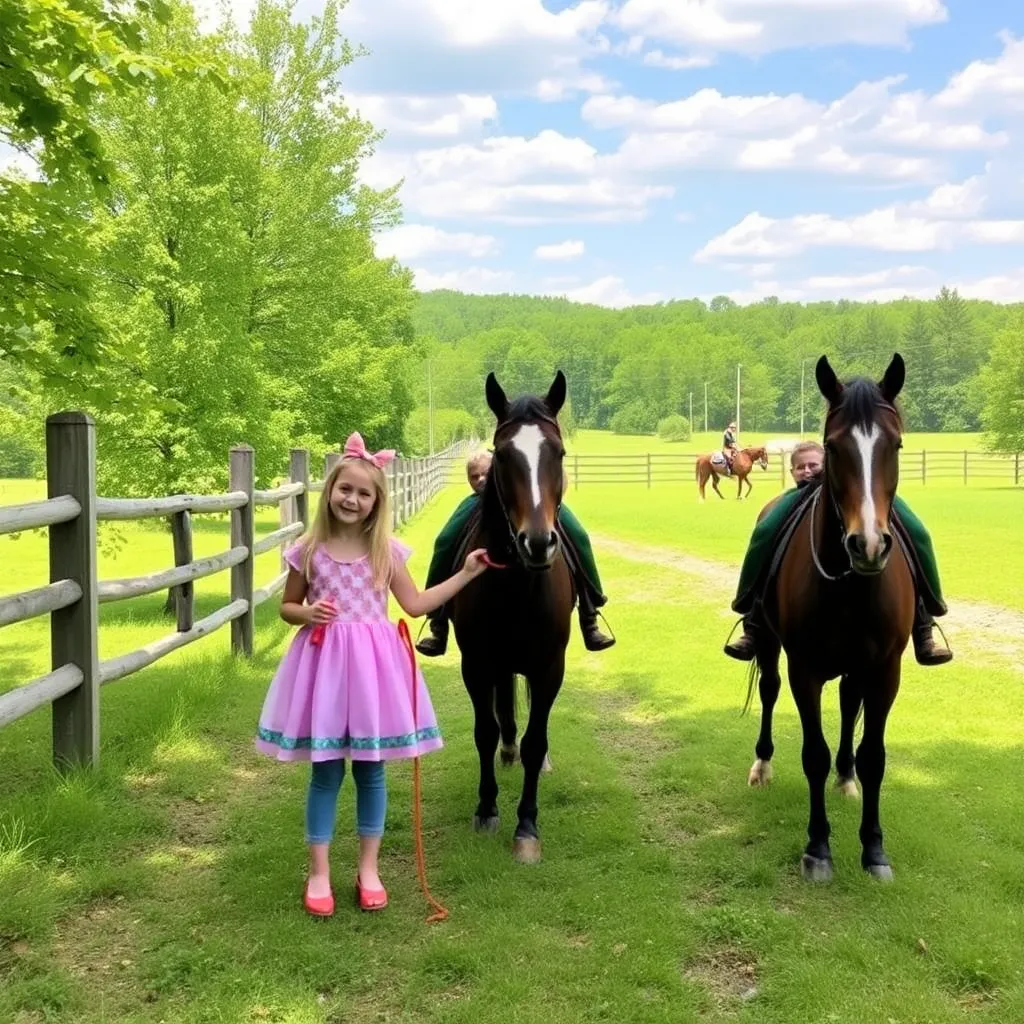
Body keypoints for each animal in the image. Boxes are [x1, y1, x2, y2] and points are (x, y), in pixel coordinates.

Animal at [450, 370, 574, 864]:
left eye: (558, 452)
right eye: (503, 454)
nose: (537, 543)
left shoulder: (549, 668)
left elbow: (535, 741)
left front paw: (527, 826)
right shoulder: (477, 664)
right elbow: (485, 731)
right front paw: (487, 808)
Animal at [745, 353, 915, 883]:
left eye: (895, 443)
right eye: (832, 446)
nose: (868, 544)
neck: (850, 584)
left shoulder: (884, 670)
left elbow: (874, 755)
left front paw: (874, 849)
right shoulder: (806, 669)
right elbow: (813, 755)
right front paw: (818, 848)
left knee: (847, 704)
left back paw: (847, 778)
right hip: (771, 646)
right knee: (769, 690)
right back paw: (762, 765)